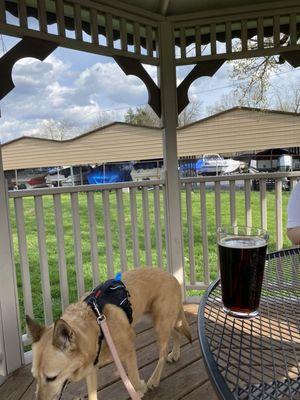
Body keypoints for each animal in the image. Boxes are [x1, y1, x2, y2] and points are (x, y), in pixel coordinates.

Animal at [25, 266, 190, 400]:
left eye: (51, 378)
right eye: (35, 377)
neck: (96, 325)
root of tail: (172, 277)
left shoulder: (129, 352)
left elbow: (134, 382)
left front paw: (140, 388)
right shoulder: (91, 370)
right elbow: (92, 396)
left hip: (160, 325)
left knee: (162, 353)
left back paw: (154, 380)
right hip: (159, 322)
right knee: (175, 334)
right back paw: (175, 354)